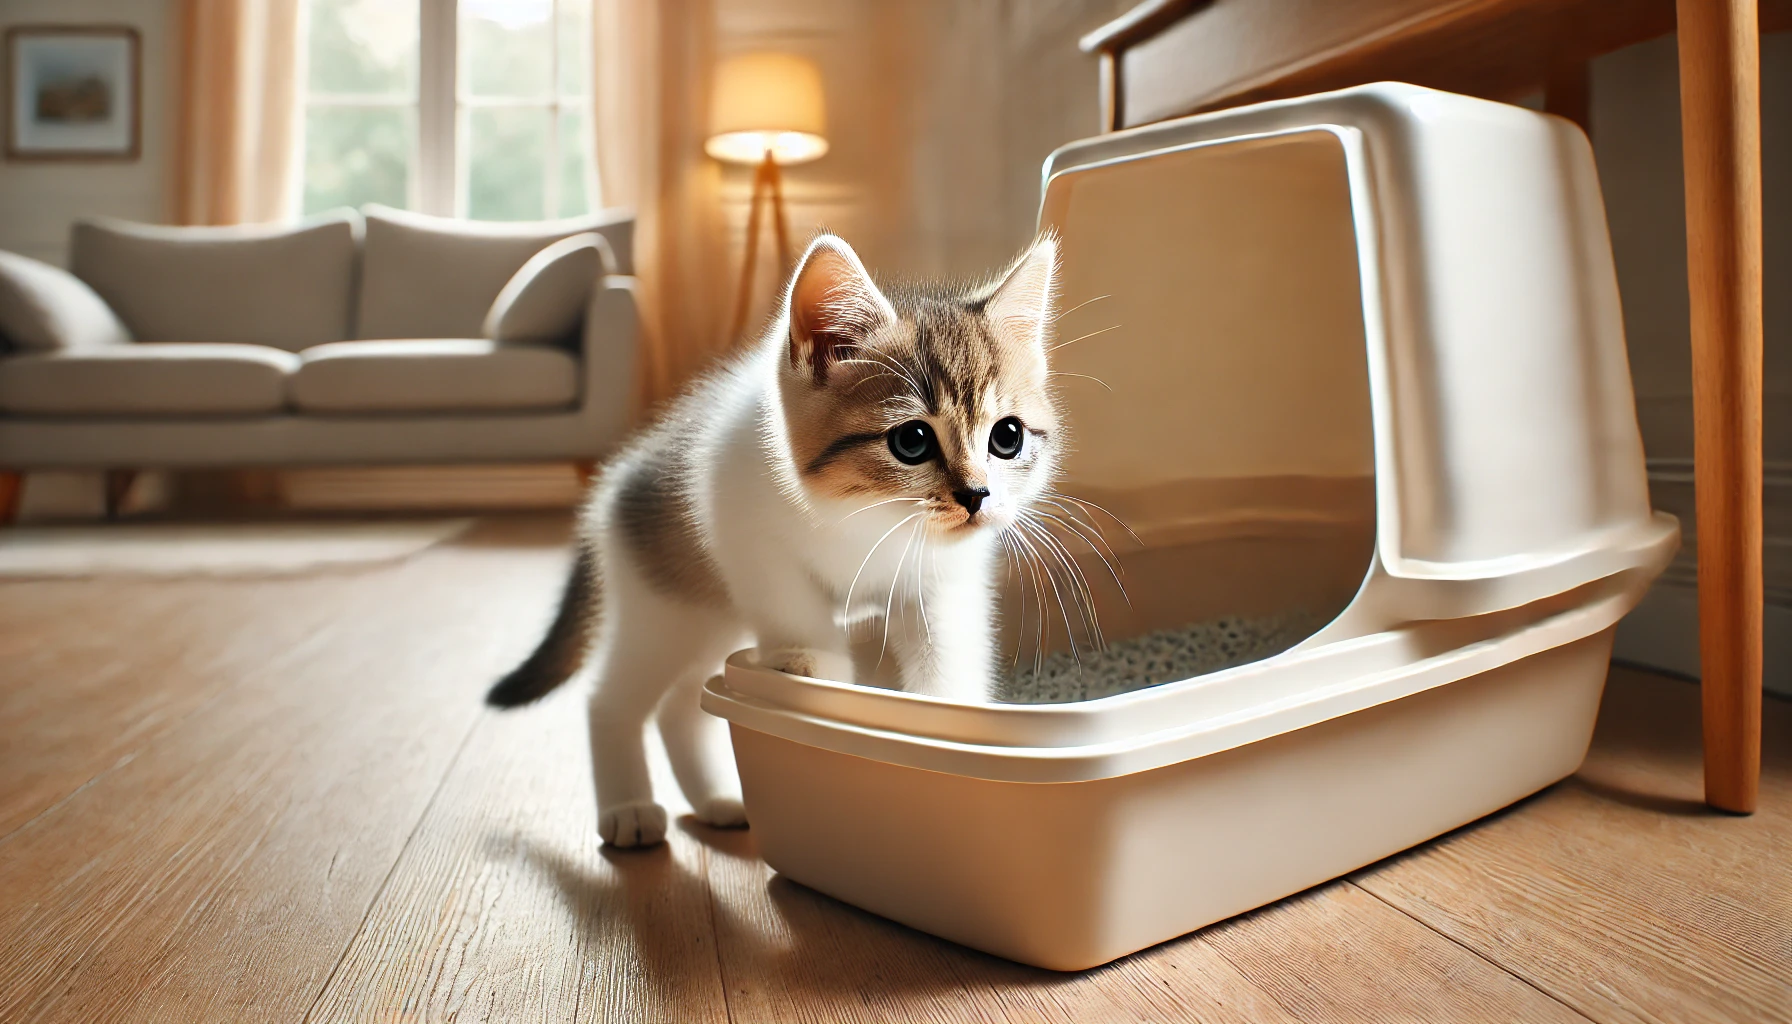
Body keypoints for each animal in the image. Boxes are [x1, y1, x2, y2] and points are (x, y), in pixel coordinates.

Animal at [483, 234, 1053, 850]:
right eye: (912, 441)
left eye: (1007, 436)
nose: (977, 495)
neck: (868, 522)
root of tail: (616, 480)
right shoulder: (742, 526)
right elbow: (792, 605)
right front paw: (815, 670)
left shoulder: (942, 583)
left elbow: (944, 651)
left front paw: (946, 720)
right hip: (661, 609)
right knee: (612, 699)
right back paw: (628, 809)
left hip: (709, 618)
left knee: (680, 707)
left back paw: (714, 800)